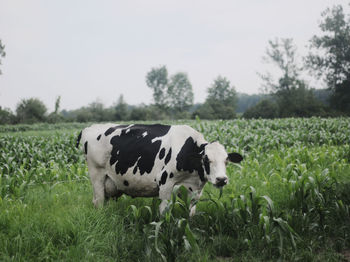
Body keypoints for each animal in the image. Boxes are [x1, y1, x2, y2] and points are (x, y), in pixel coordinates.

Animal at [76, 124, 243, 216]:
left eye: (226, 160)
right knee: (98, 201)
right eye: (206, 159)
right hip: (97, 175)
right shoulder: (165, 183)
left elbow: (191, 213)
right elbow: (164, 213)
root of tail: (89, 128)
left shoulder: (195, 190)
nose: (221, 179)